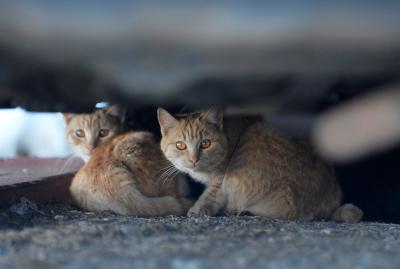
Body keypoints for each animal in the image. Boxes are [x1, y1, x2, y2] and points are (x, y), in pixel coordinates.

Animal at [158, 108, 364, 221]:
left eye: (206, 143)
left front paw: (198, 209)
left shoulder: (221, 178)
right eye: (180, 145)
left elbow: (211, 194)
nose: (194, 159)